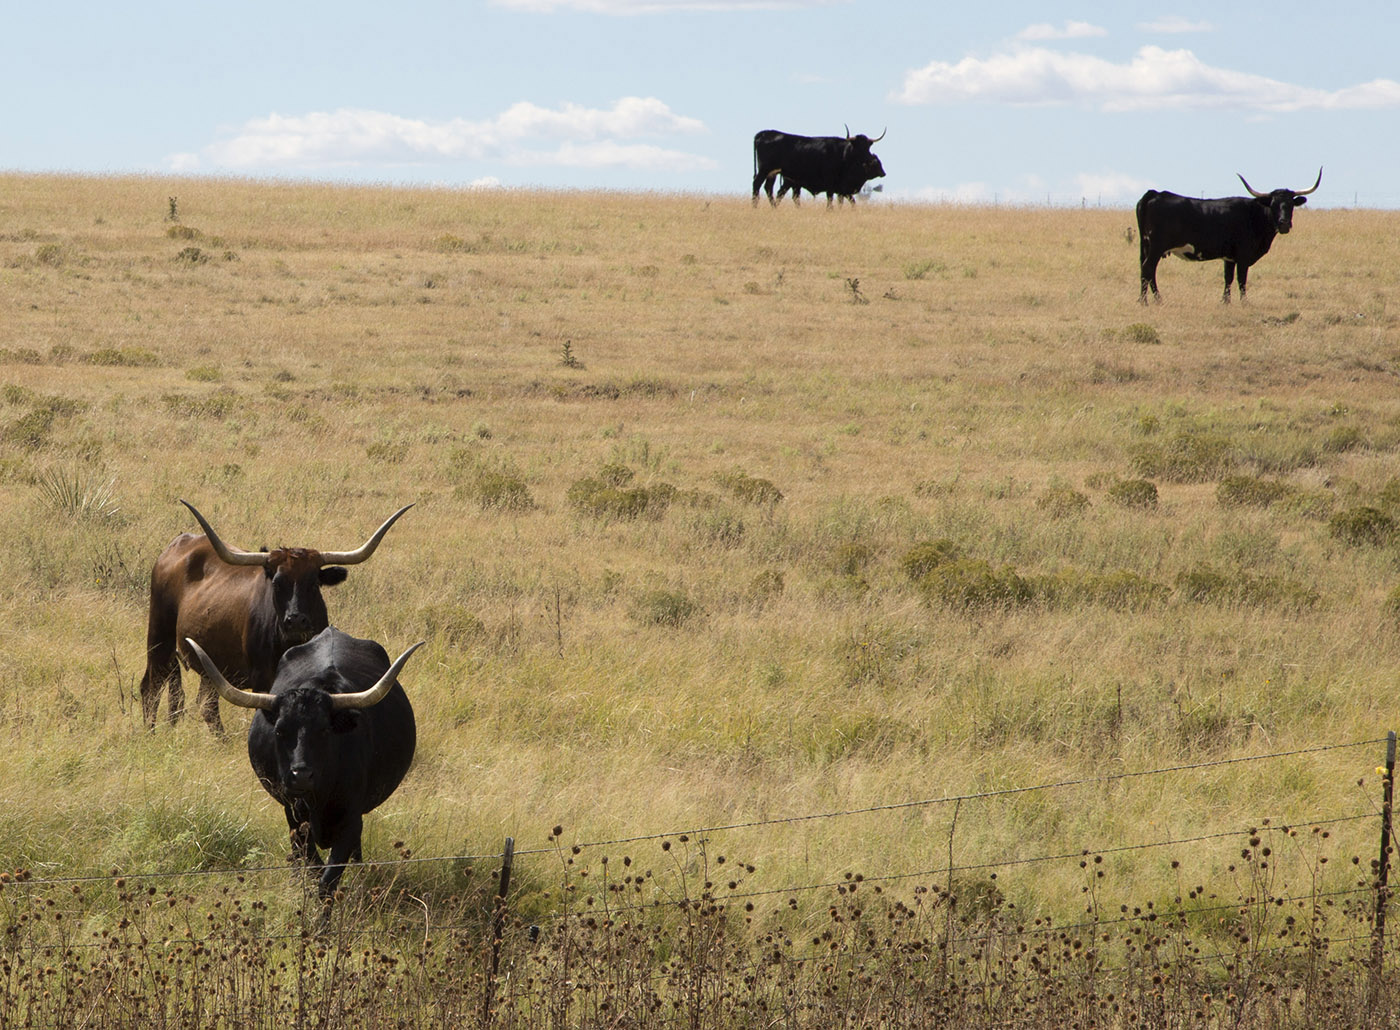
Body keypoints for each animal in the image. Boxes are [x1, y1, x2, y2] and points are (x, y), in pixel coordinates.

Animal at [137, 498, 408, 733]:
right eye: (277, 583)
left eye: (314, 583)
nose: (296, 620)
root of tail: (179, 543)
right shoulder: (262, 681)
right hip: (159, 637)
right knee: (151, 687)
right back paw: (151, 733)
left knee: (206, 706)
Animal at [189, 626, 422, 901]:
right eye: (279, 731)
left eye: (324, 730)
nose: (300, 775)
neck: (320, 796)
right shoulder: (296, 816)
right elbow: (313, 866)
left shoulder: (351, 818)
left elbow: (329, 878)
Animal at [756, 125, 884, 207]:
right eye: (858, 146)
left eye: (868, 146)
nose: (870, 159)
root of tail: (765, 133)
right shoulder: (832, 184)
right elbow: (831, 199)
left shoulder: (841, 190)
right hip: (765, 170)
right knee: (757, 184)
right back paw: (755, 205)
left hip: (776, 175)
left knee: (771, 189)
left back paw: (774, 207)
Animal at [1136, 169, 1321, 303]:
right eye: (1273, 204)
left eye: (1290, 204)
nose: (1284, 223)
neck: (1254, 215)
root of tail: (1156, 193)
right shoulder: (1243, 256)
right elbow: (1241, 279)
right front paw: (1244, 302)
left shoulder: (1229, 257)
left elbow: (1228, 278)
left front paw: (1225, 301)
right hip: (1157, 247)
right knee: (1148, 268)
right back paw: (1151, 300)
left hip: (1146, 246)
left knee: (1146, 271)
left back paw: (1145, 299)